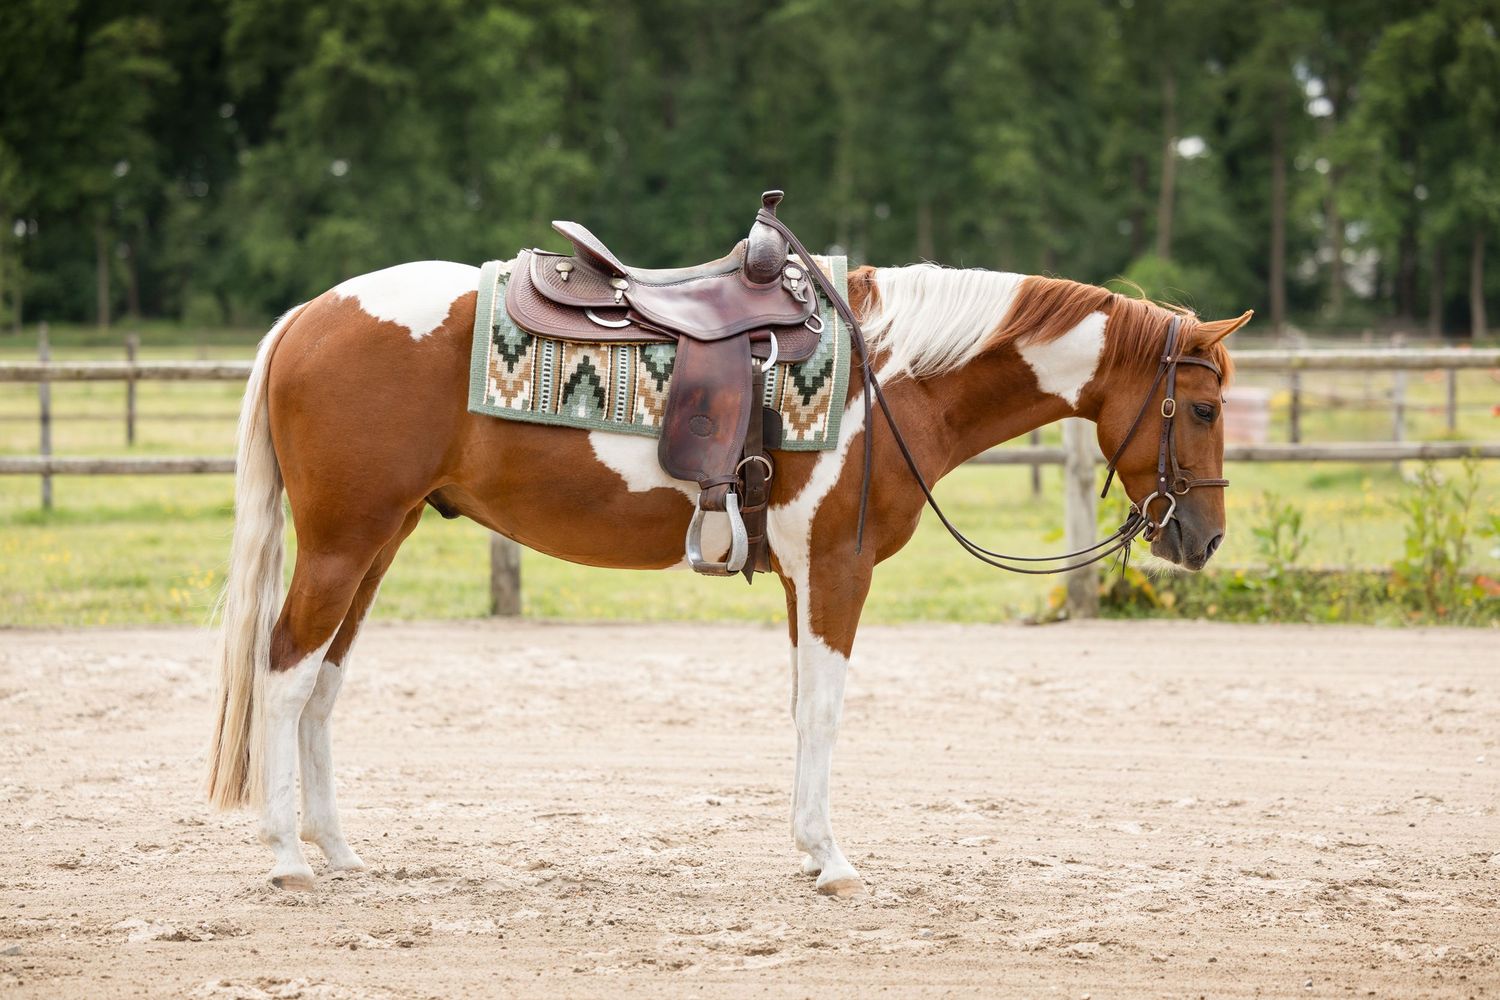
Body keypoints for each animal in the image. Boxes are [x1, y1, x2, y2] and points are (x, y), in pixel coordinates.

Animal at [205, 255, 1248, 896]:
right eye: (1201, 407)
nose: (1201, 540)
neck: (889, 379)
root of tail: (308, 316)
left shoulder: (800, 578)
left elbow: (799, 707)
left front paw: (807, 848)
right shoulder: (835, 570)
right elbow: (824, 709)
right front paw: (832, 859)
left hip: (377, 544)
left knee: (323, 685)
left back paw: (339, 850)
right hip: (344, 543)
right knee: (286, 671)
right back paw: (288, 858)